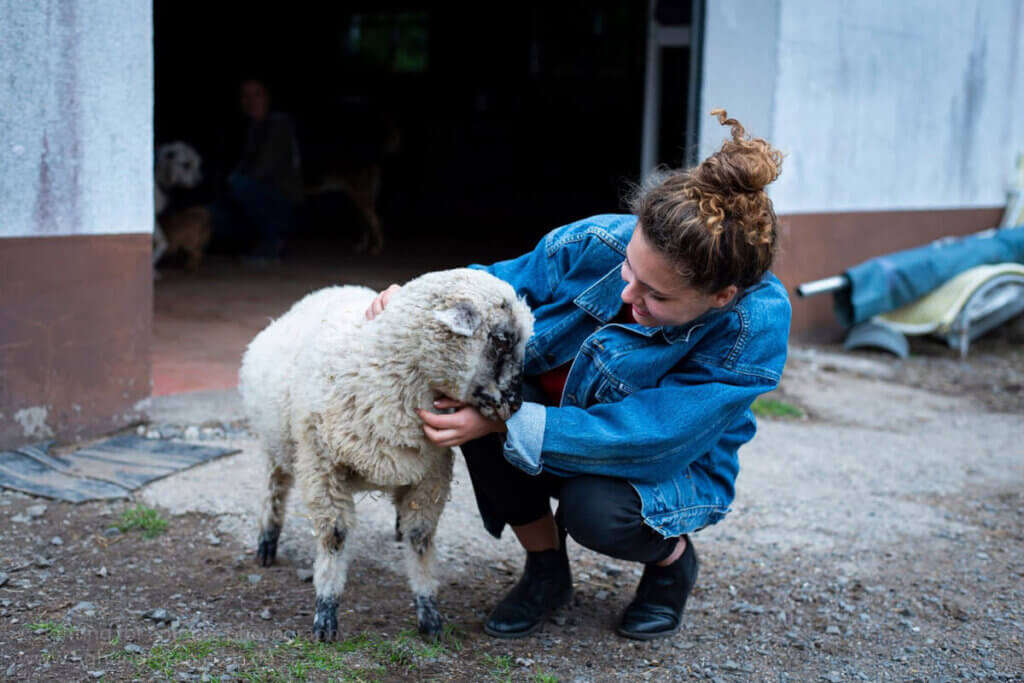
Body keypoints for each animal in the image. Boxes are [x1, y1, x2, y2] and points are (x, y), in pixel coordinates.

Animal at [238, 268, 534, 640]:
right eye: (502, 339)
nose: (516, 404)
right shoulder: (322, 467)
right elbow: (334, 536)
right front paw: (326, 612)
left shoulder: (429, 475)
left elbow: (420, 539)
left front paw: (429, 613)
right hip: (277, 443)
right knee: (274, 487)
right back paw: (267, 541)